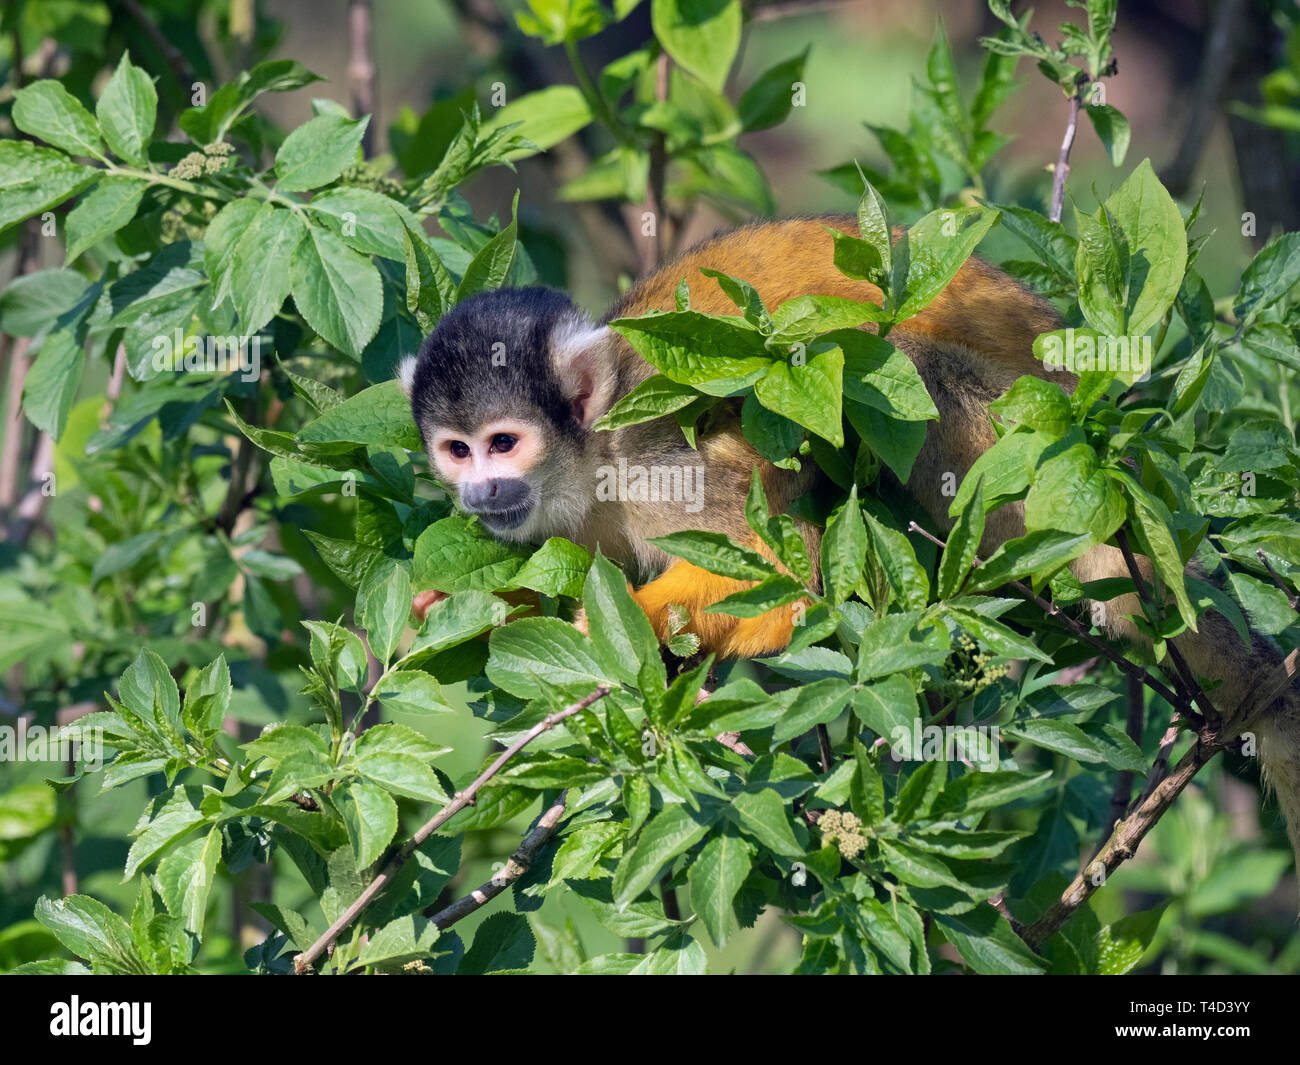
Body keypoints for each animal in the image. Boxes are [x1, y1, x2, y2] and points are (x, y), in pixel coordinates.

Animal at [400, 217, 1300, 873]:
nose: (480, 492)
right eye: (457, 449)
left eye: (504, 442)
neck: (588, 458)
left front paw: (620, 627)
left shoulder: (653, 458)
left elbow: (781, 566)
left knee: (905, 367)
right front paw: (476, 604)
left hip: (1037, 453)